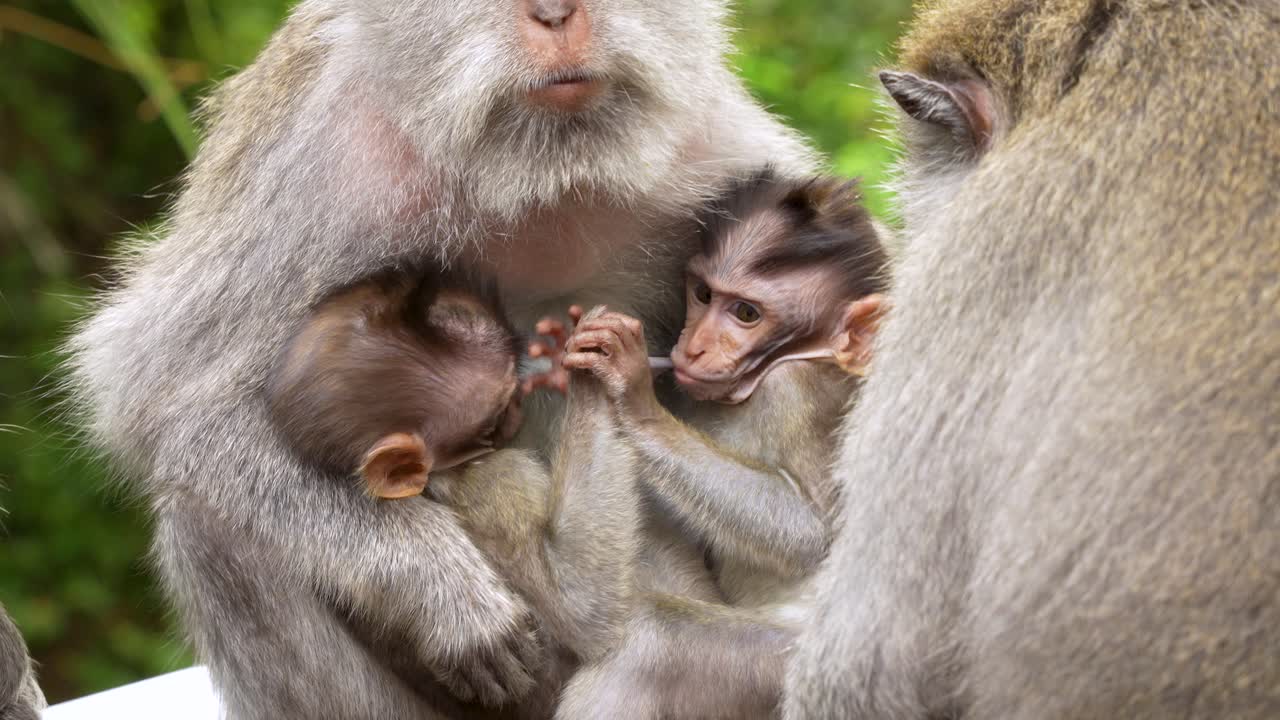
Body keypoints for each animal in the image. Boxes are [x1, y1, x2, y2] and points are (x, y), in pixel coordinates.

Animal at [64, 0, 816, 716]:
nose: (555, 15)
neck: (539, 171)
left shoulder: (714, 144)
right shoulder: (327, 165)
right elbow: (172, 403)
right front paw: (440, 586)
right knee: (211, 526)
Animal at [545, 171, 889, 719]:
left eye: (746, 313)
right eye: (703, 294)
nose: (694, 346)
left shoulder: (795, 394)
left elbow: (813, 530)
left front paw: (632, 392)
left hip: (788, 673)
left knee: (650, 646)